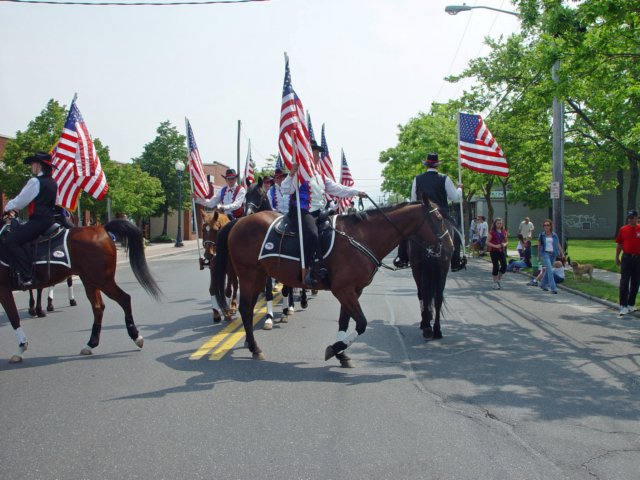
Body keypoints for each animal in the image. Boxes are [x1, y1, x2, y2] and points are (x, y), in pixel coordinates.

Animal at [0, 219, 162, 362]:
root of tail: (103, 228)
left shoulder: (4, 289)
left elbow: (14, 317)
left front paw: (21, 348)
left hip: (102, 280)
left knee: (124, 299)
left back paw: (136, 337)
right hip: (90, 280)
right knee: (98, 307)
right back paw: (91, 344)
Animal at [212, 201, 448, 366]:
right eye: (438, 218)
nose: (449, 244)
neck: (361, 237)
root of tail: (240, 221)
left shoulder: (353, 290)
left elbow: (345, 321)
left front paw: (342, 353)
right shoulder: (343, 290)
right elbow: (361, 323)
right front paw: (335, 349)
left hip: (259, 275)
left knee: (249, 308)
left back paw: (250, 343)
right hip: (249, 275)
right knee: (245, 308)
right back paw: (255, 348)